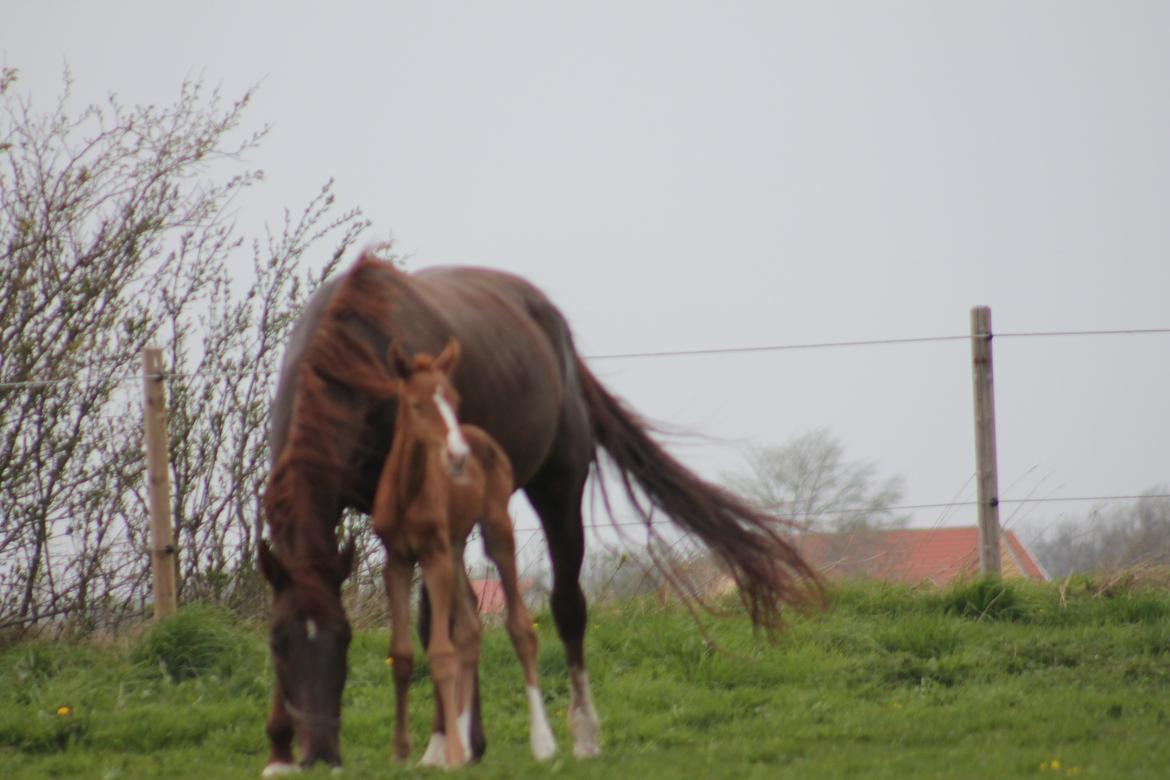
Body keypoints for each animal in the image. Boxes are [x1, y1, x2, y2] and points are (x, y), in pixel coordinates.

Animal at [374, 341, 556, 767]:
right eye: (417, 404)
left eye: (454, 400)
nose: (457, 456)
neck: (407, 492)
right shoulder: (397, 560)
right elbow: (403, 653)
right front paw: (402, 750)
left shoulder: (434, 555)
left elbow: (441, 651)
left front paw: (452, 751)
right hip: (456, 546)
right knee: (471, 627)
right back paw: (463, 744)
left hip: (494, 529)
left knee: (520, 627)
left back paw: (542, 741)